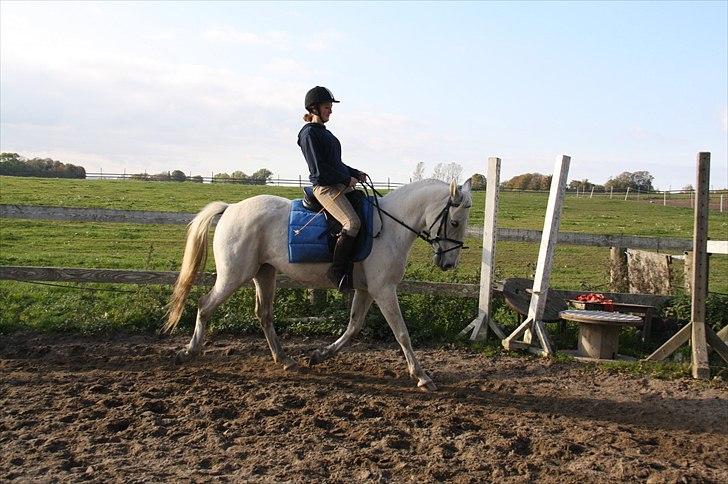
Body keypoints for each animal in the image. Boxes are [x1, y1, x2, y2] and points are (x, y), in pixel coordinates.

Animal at [164, 178, 472, 390]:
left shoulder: (366, 289)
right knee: (205, 305)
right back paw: (188, 352)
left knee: (264, 314)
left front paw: (320, 355)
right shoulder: (384, 290)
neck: (390, 227)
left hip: (264, 273)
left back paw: (285, 359)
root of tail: (230, 209)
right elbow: (402, 334)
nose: (448, 264)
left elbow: (353, 327)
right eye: (455, 223)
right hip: (233, 275)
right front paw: (422, 376)